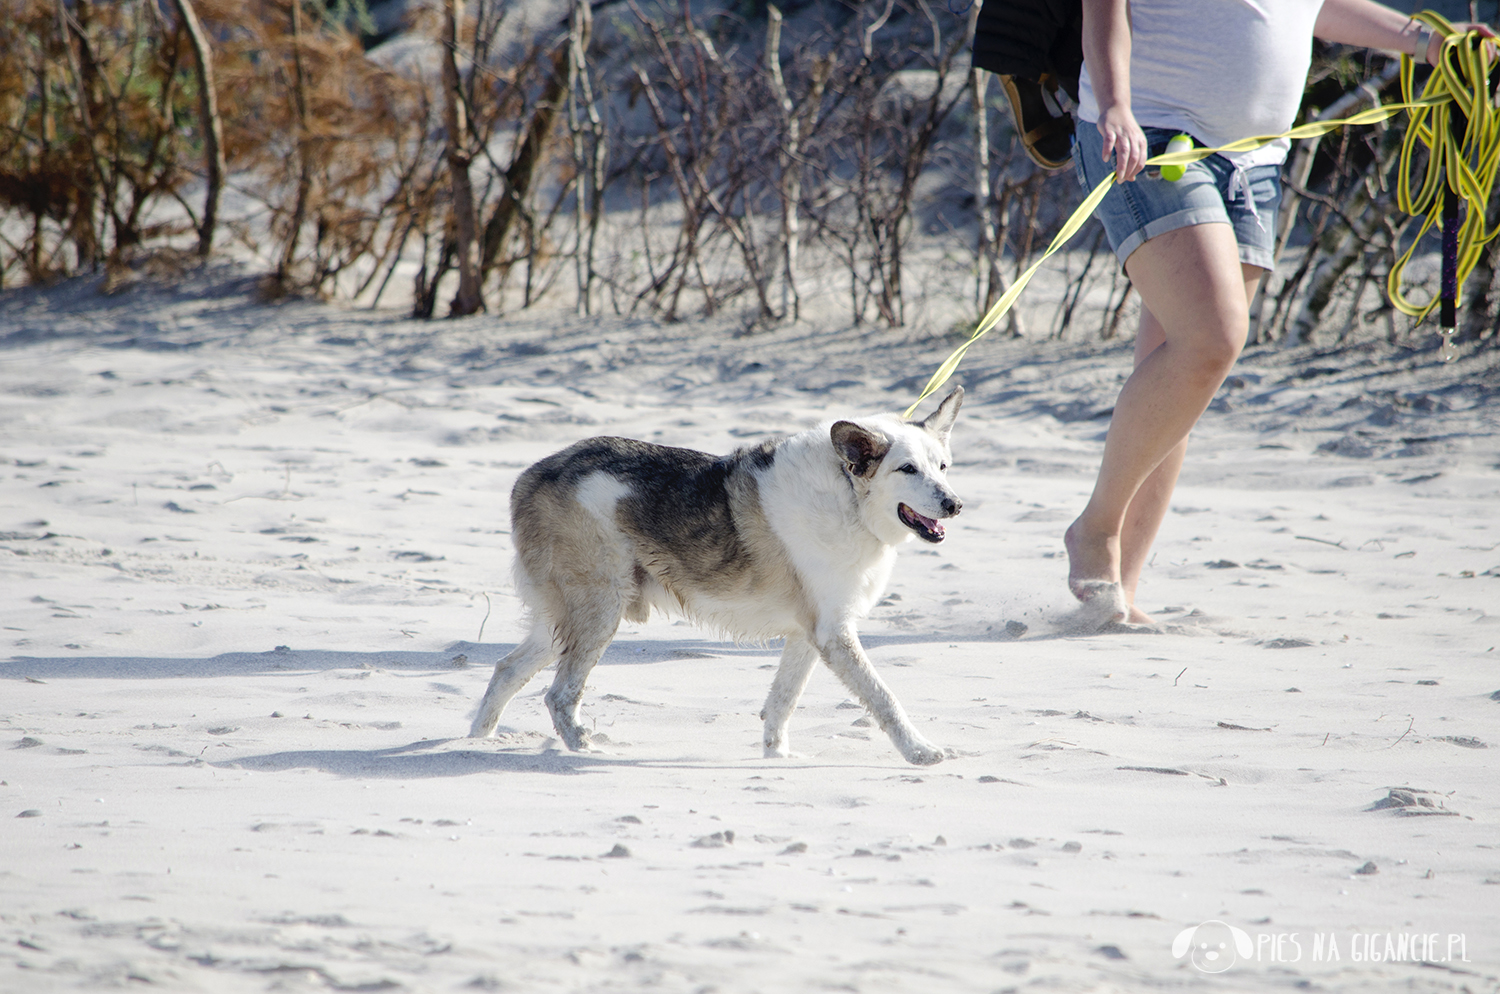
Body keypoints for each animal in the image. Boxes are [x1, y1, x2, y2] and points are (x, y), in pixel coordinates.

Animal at [465, 386, 972, 761]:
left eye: (943, 467)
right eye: (907, 469)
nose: (954, 504)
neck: (848, 495)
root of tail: (533, 475)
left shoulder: (810, 634)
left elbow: (781, 704)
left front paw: (776, 760)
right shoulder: (833, 635)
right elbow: (884, 699)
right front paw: (919, 751)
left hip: (564, 621)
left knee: (506, 669)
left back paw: (474, 740)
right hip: (599, 612)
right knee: (559, 693)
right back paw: (582, 751)